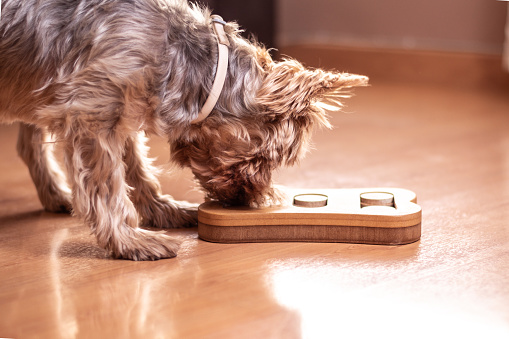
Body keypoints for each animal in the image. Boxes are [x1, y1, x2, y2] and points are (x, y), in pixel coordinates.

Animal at [0, 0, 366, 262]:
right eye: (261, 160)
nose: (250, 200)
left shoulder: (124, 109)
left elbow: (137, 169)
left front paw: (163, 211)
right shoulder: (91, 113)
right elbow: (108, 187)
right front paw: (129, 241)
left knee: (28, 143)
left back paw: (54, 194)